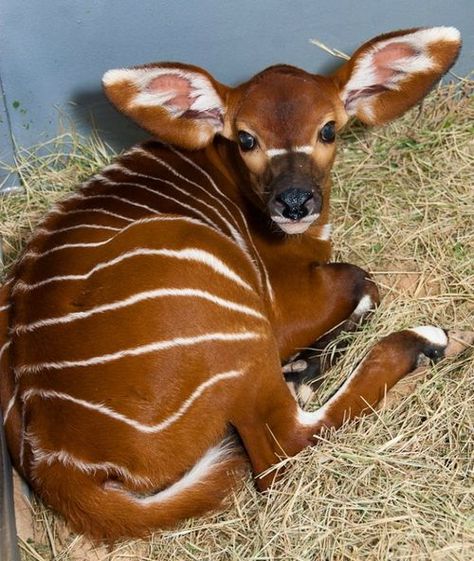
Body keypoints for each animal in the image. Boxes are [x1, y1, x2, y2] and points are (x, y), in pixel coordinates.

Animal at [0, 26, 474, 540]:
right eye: (246, 138)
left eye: (328, 128)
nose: (294, 202)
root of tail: (64, 466)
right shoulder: (282, 308)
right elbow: (362, 280)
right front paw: (313, 363)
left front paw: (306, 367)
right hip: (237, 330)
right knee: (281, 451)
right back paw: (423, 342)